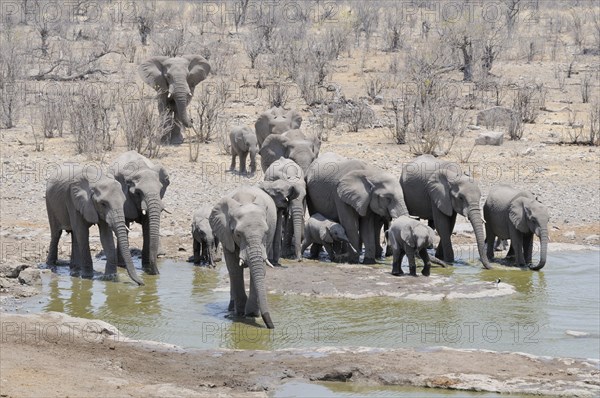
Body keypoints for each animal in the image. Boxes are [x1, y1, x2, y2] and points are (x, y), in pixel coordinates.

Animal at [210, 187, 278, 330]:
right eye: (237, 234)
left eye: (266, 232)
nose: (272, 327)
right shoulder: (226, 234)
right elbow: (234, 269)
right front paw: (240, 314)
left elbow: (259, 268)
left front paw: (252, 314)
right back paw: (231, 309)